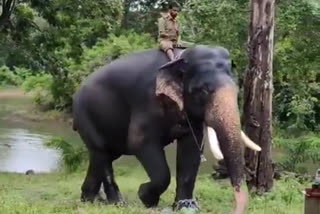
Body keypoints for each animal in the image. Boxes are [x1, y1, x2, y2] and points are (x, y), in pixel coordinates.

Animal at [72, 44, 260, 213]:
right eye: (202, 91)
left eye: (237, 90)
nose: (236, 209)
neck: (178, 58)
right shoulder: (147, 102)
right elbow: (139, 143)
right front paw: (146, 197)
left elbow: (191, 149)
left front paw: (186, 207)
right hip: (85, 116)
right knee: (102, 153)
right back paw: (117, 203)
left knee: (101, 156)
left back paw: (91, 199)